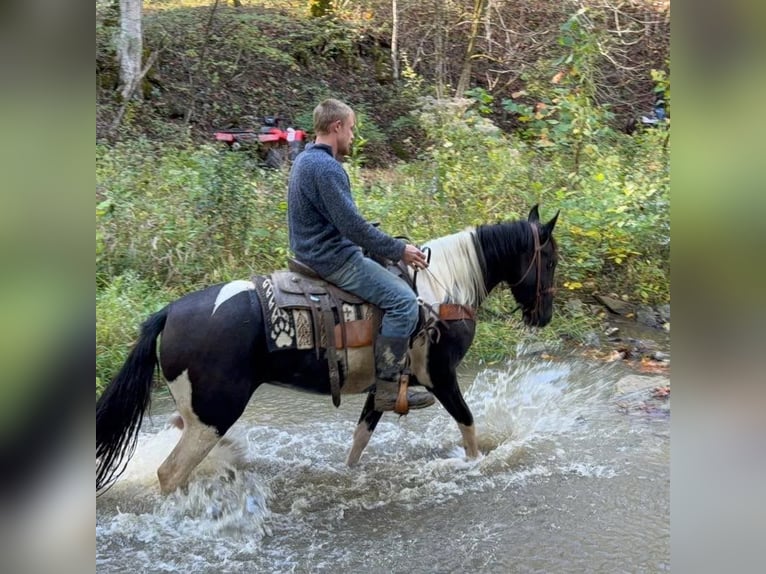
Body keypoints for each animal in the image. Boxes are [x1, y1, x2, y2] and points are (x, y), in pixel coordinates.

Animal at [97, 205, 559, 495]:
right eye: (550, 260)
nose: (544, 316)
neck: (442, 290)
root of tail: (168, 313)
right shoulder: (441, 377)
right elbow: (468, 426)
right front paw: (477, 465)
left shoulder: (382, 389)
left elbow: (359, 440)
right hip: (213, 415)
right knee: (170, 472)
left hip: (197, 415)